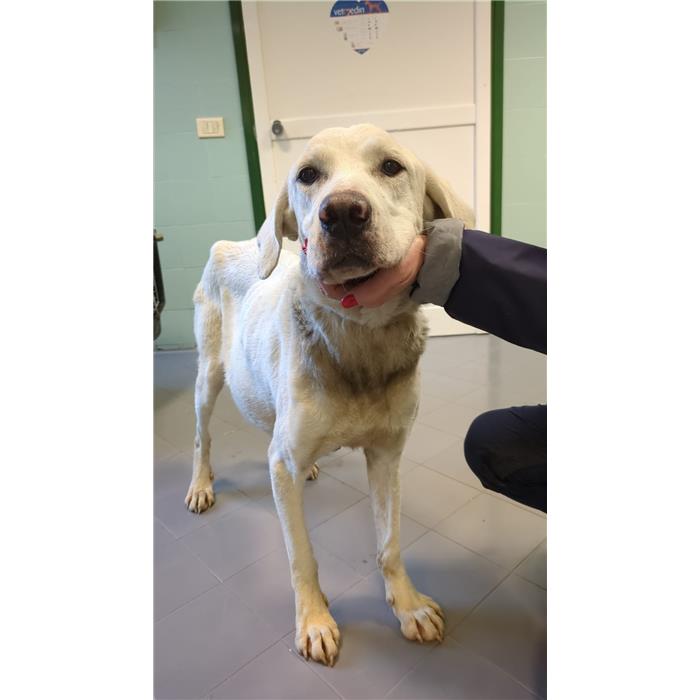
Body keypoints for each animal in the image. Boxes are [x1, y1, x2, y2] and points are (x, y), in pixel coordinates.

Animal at [186, 124, 474, 666]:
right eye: (307, 175)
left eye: (391, 166)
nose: (341, 213)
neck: (357, 339)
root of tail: (235, 243)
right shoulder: (283, 462)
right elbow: (301, 554)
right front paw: (314, 621)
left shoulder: (387, 454)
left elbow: (389, 544)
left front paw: (407, 606)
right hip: (208, 377)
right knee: (202, 437)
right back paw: (200, 485)